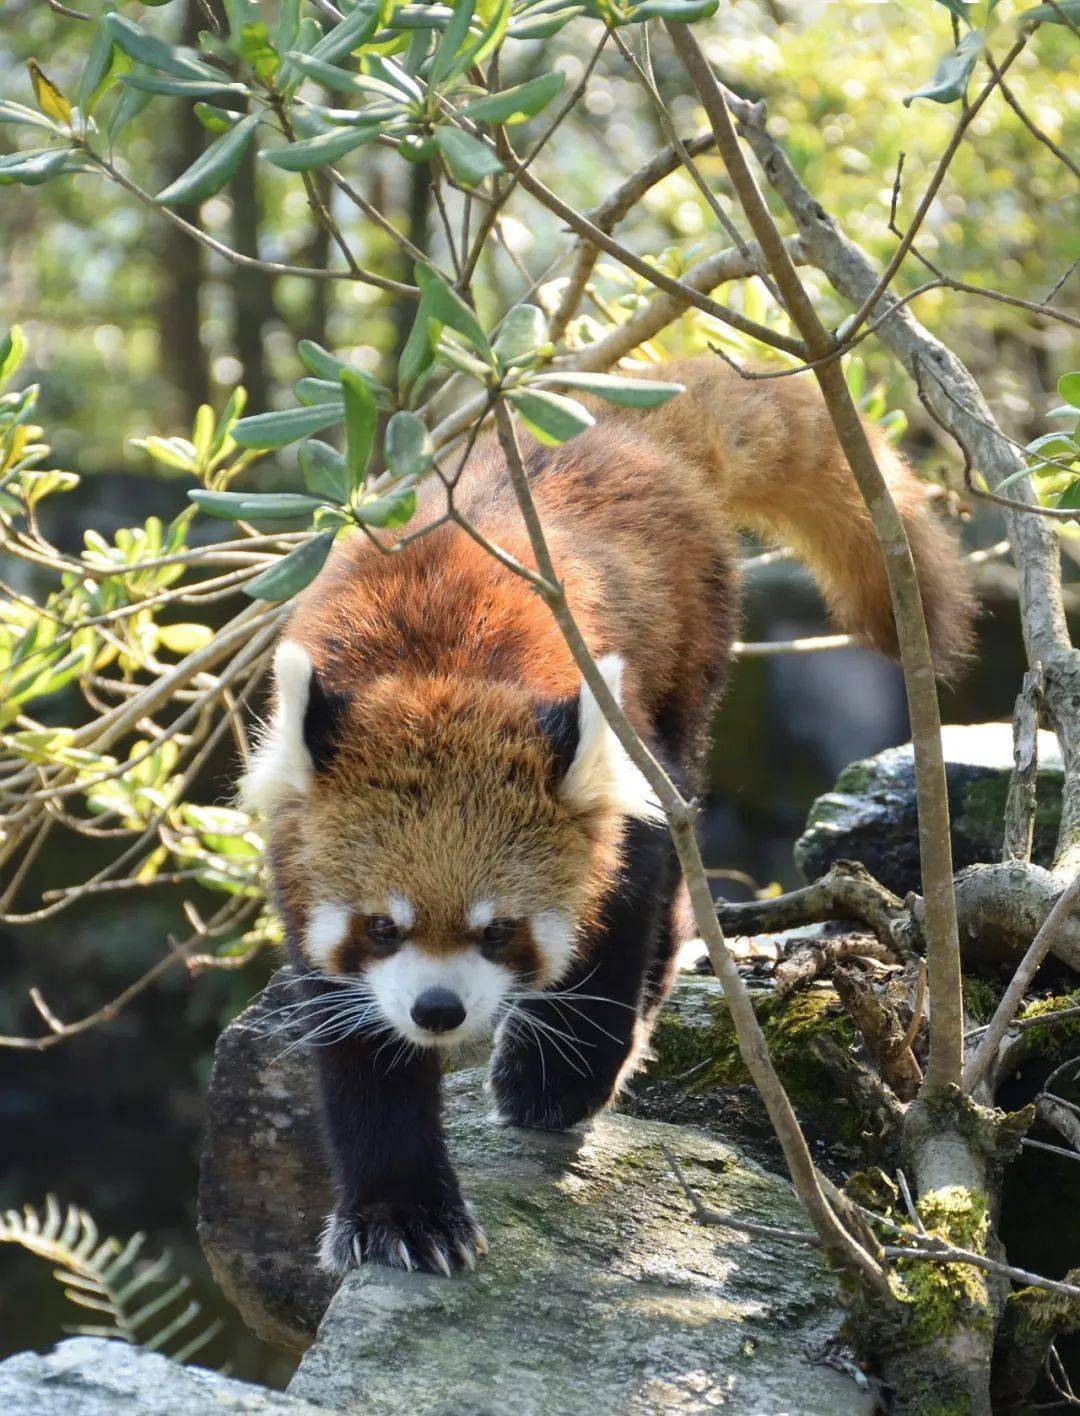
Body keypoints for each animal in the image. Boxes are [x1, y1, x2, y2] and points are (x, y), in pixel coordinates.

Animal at [244, 356, 979, 1285]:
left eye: (500, 931)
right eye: (382, 926)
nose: (439, 1011)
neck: (433, 671)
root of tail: (618, 418)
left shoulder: (616, 765)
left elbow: (628, 900)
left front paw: (556, 1078)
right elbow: (358, 1048)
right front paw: (401, 1212)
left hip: (692, 648)